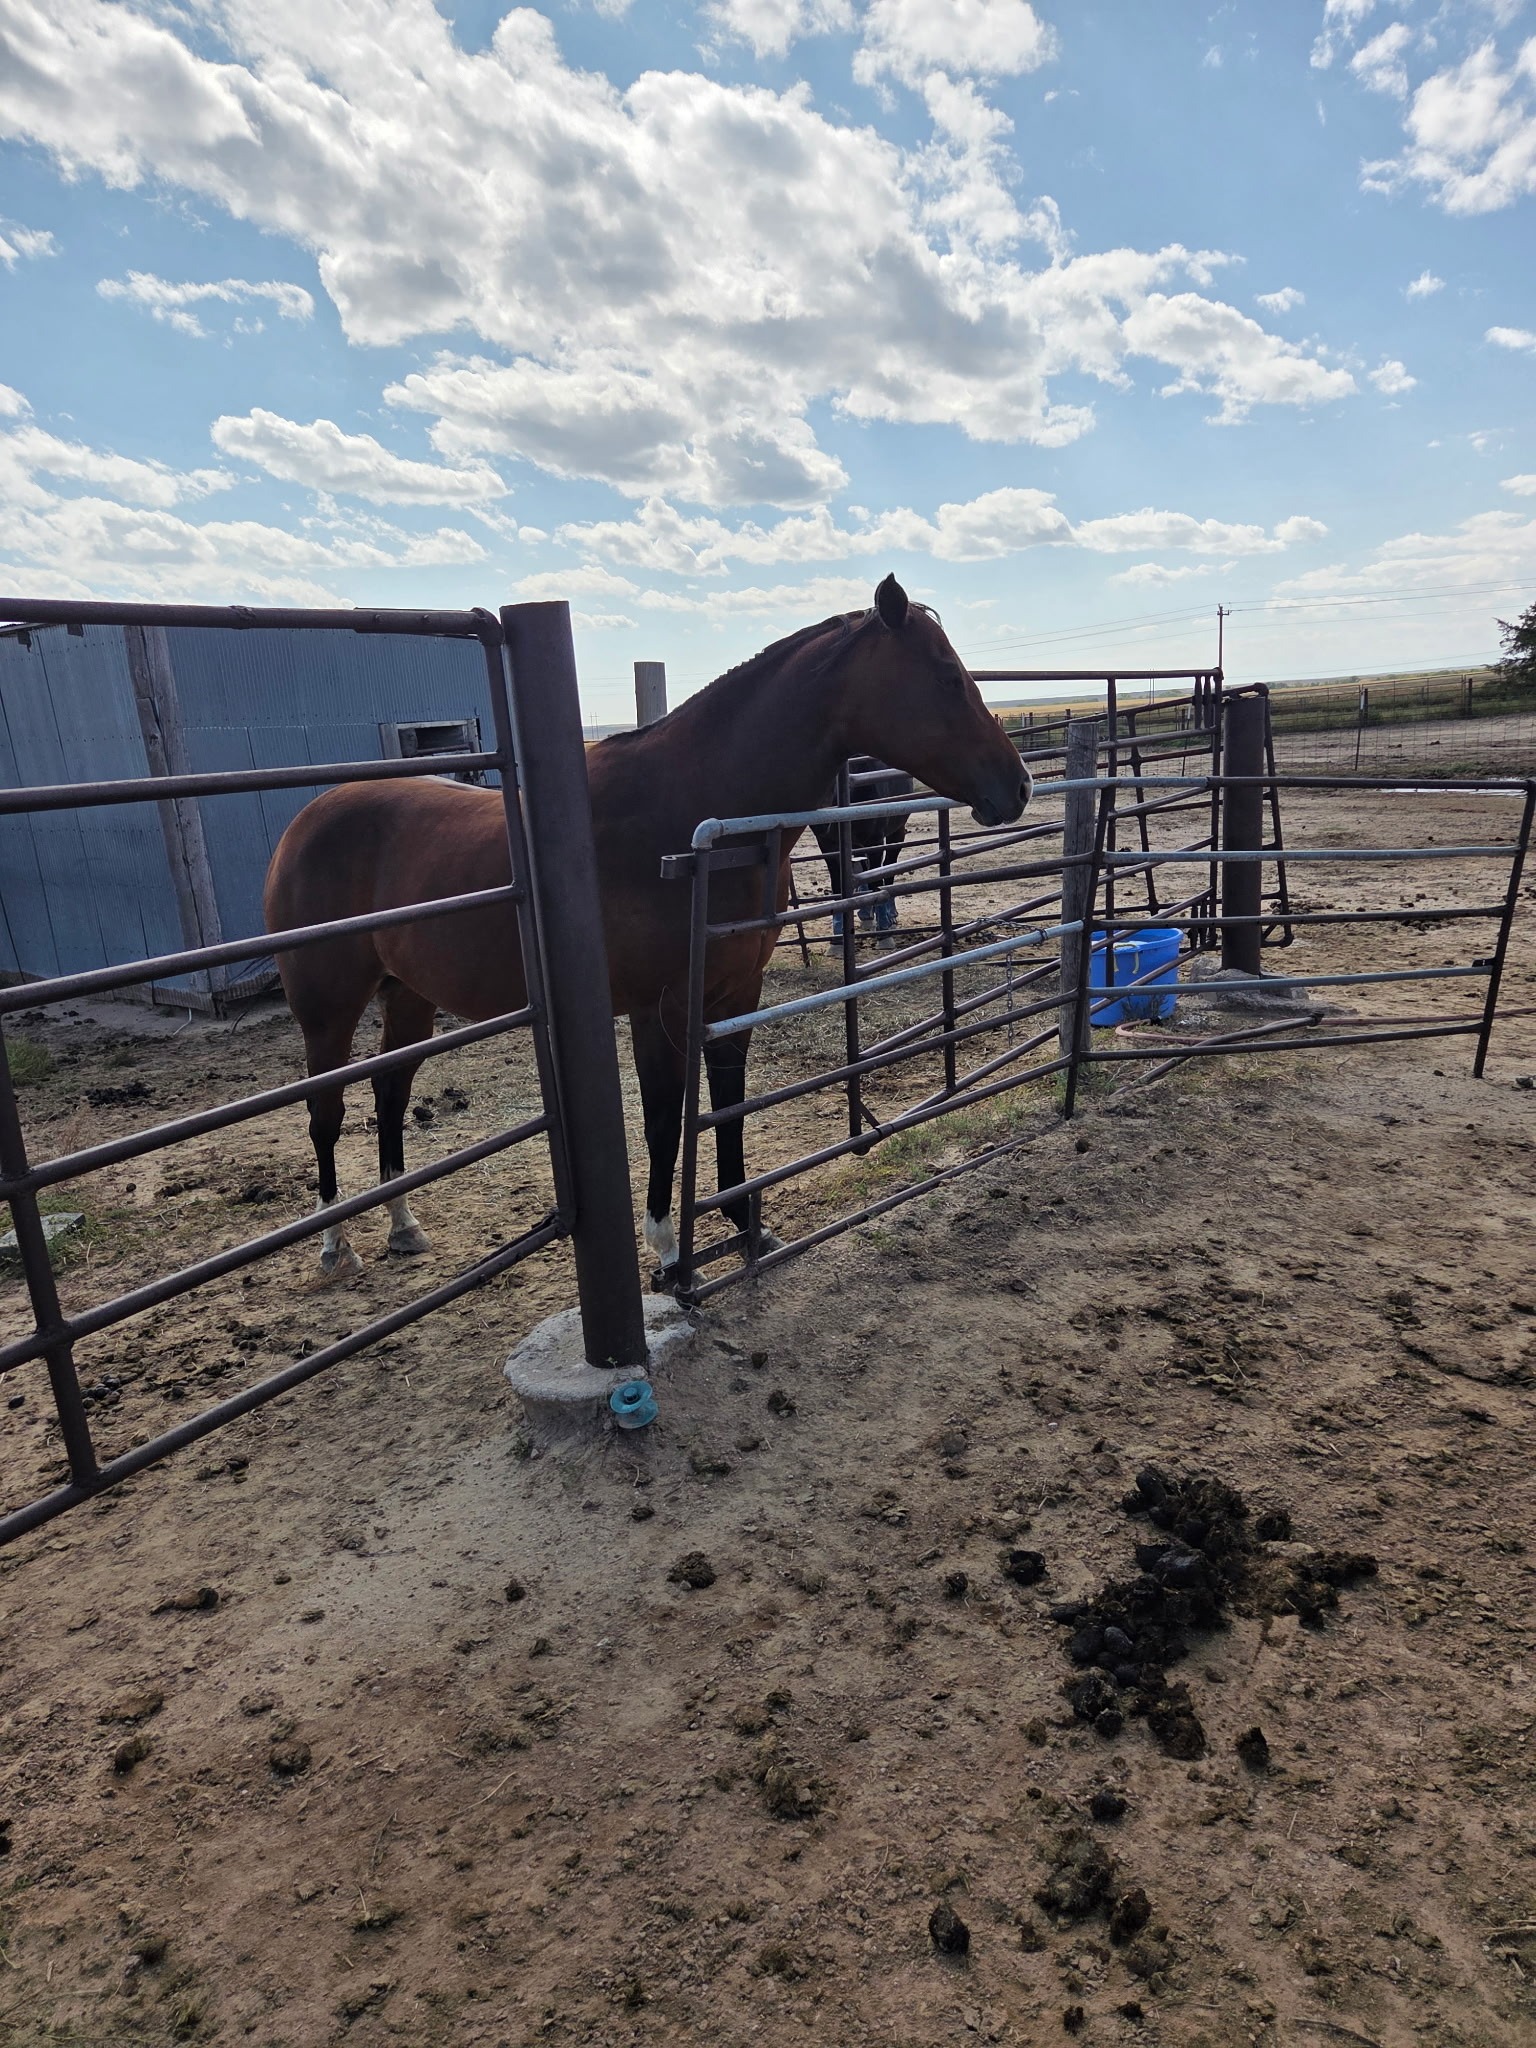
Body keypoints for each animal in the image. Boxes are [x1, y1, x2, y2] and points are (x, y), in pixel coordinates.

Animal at [812, 756, 915, 944]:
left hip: (896, 832)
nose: (820, 823)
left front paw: (884, 932)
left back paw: (890, 914)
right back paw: (866, 913)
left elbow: (877, 881)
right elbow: (838, 884)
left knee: (889, 866)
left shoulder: (875, 841)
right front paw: (837, 936)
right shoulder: (827, 845)